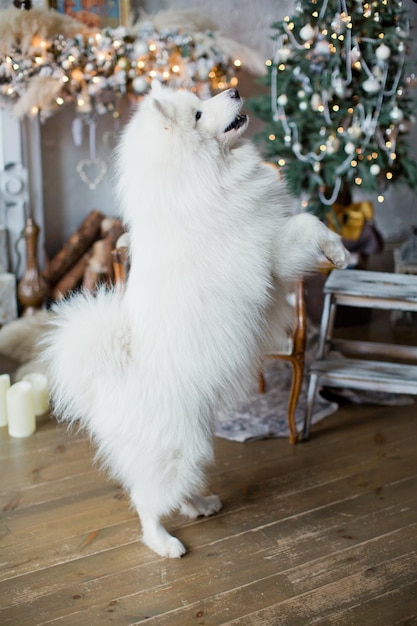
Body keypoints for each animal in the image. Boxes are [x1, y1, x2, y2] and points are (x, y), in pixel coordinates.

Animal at [43, 81, 348, 556]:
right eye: (200, 114)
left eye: (203, 101)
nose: (235, 89)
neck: (198, 180)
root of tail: (106, 383)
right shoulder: (273, 255)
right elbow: (306, 222)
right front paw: (338, 250)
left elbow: (311, 222)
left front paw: (339, 252)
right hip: (177, 448)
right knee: (146, 500)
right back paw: (165, 543)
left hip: (196, 437)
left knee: (172, 491)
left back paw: (201, 505)